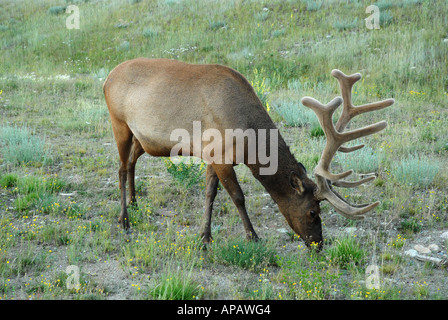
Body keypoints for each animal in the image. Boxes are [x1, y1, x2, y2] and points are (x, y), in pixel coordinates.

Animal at [103, 58, 394, 249]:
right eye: (313, 211)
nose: (318, 244)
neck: (248, 142)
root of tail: (106, 78)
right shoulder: (220, 155)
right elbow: (237, 197)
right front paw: (252, 236)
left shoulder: (212, 155)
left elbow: (210, 193)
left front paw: (205, 236)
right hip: (119, 123)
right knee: (120, 168)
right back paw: (124, 219)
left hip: (143, 139)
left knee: (131, 162)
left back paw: (135, 203)